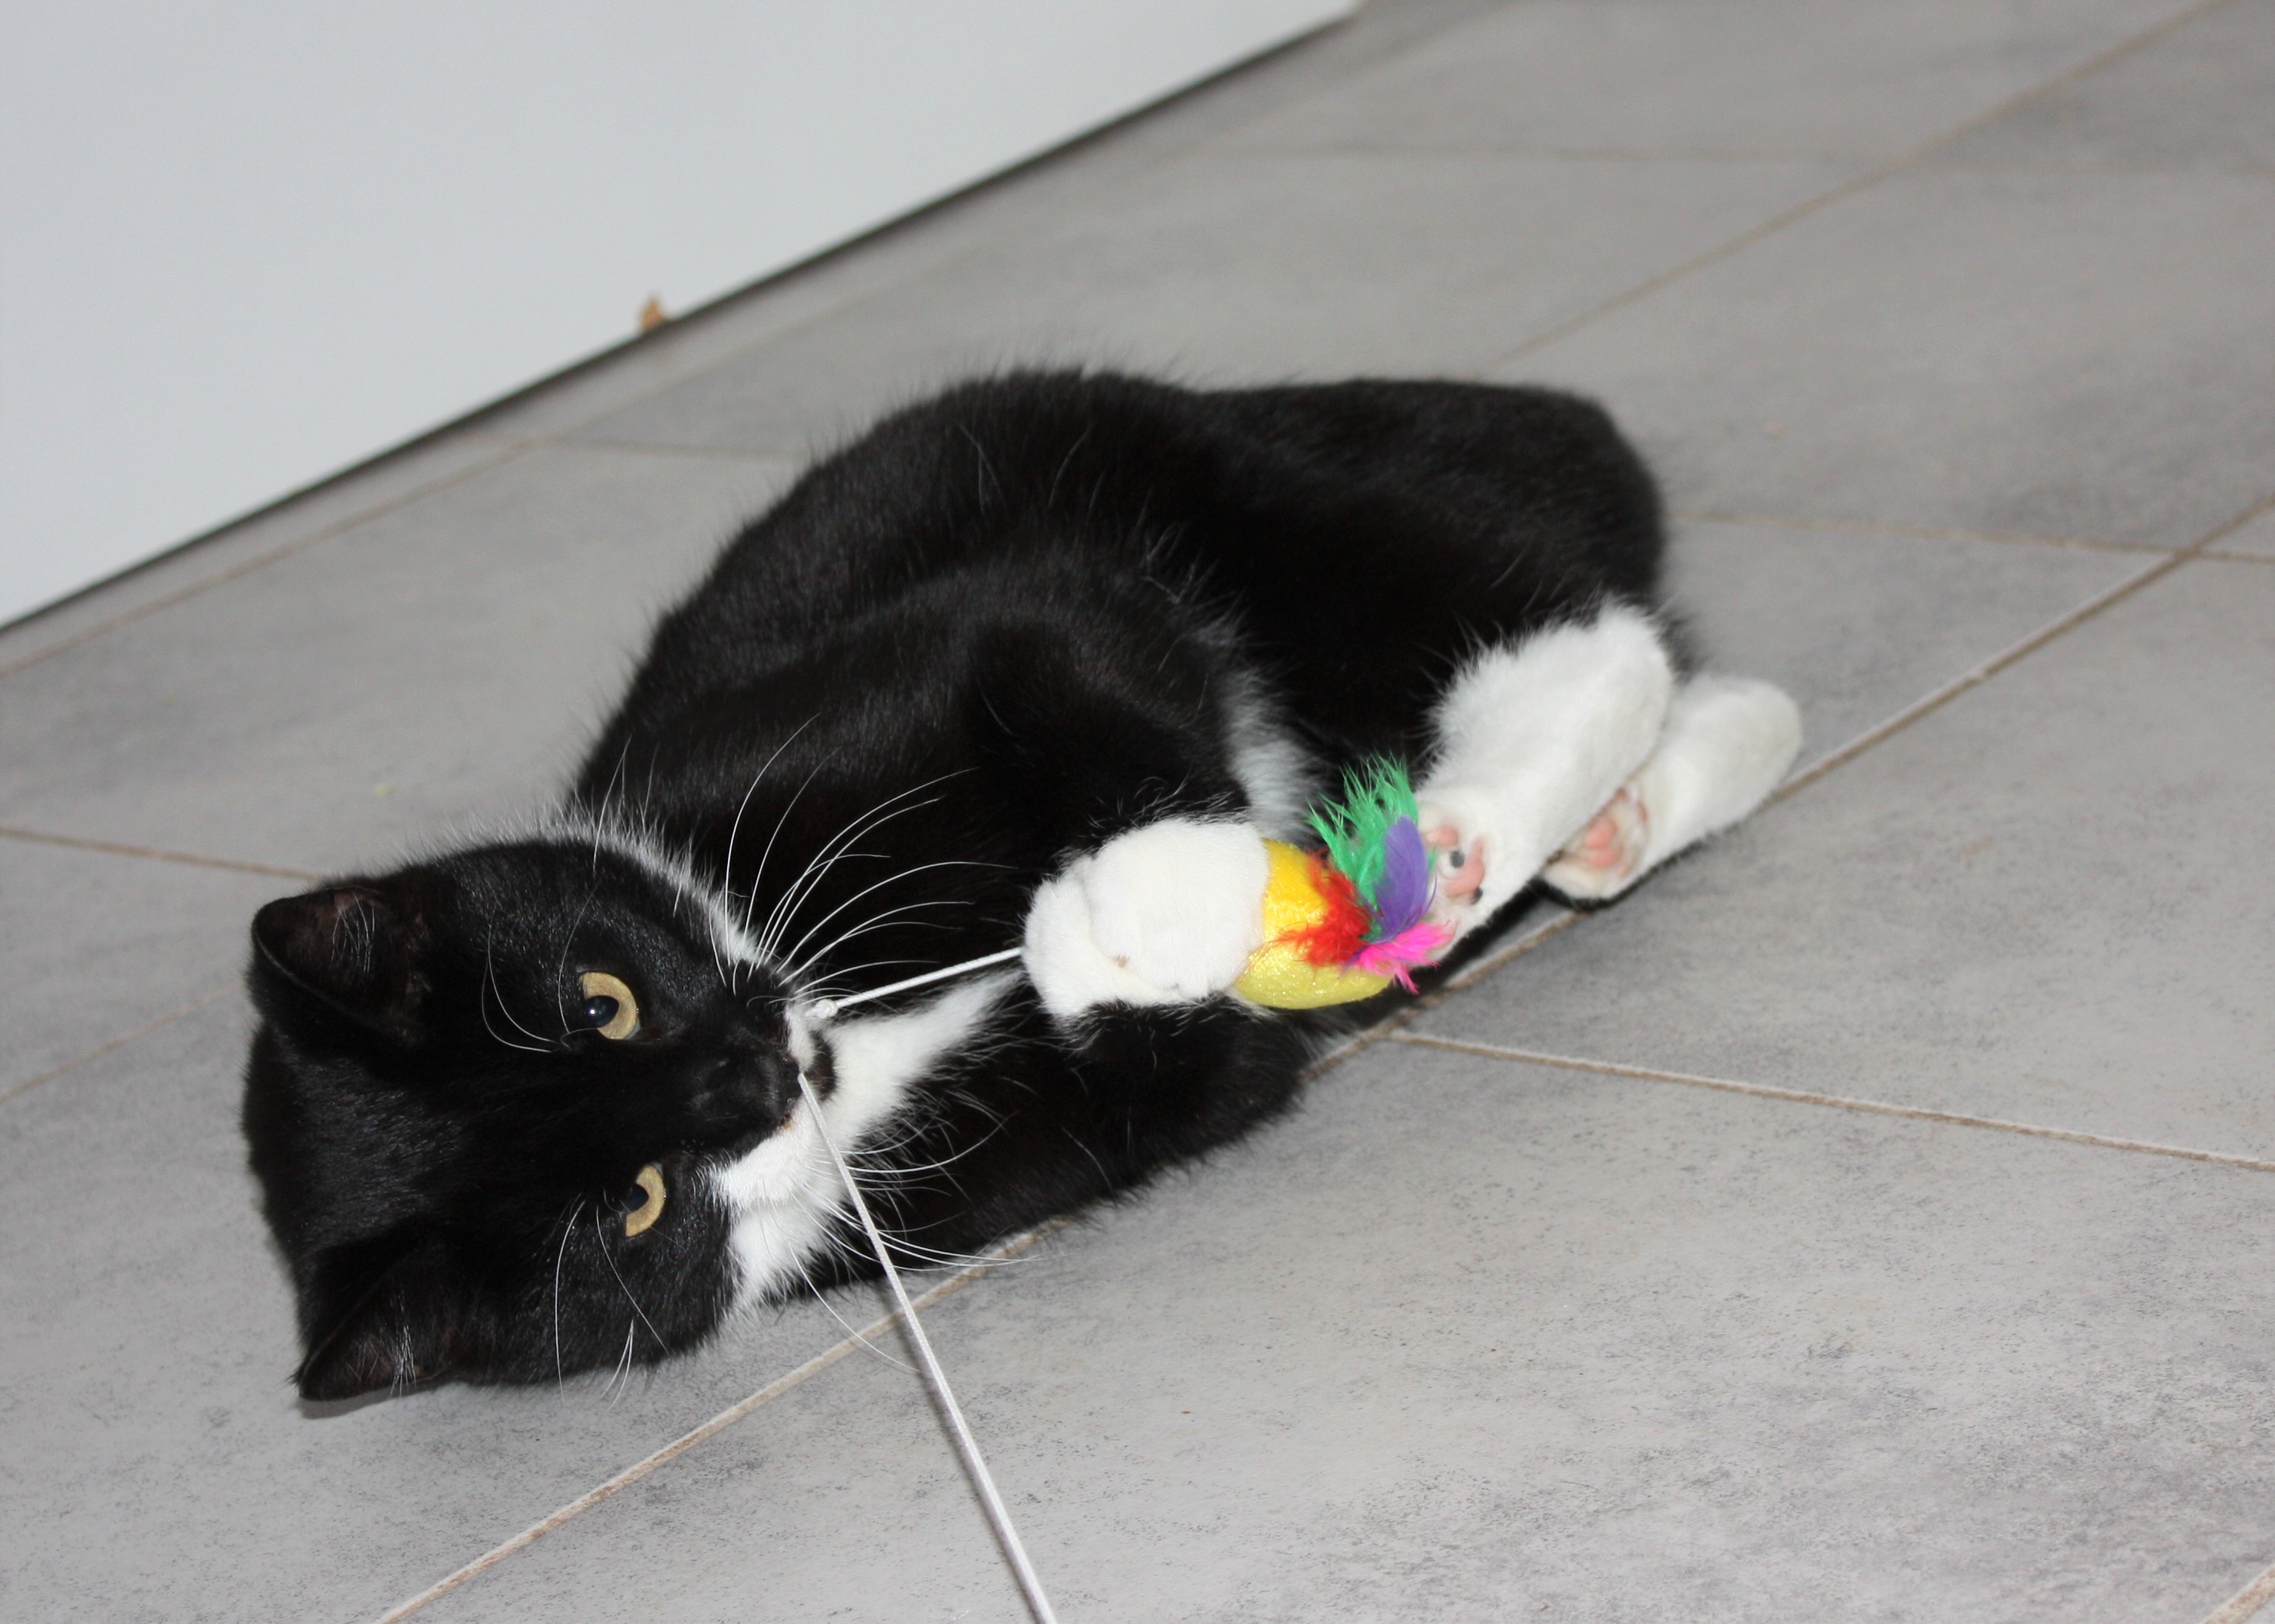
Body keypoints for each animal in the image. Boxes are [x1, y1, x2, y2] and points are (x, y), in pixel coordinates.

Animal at [242, 371, 1801, 1400]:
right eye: (633, 1205)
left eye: (600, 998)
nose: (755, 1072)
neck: (846, 1010)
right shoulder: (1002, 1165)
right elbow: (1206, 1068)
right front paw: (1133, 938)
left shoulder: (901, 672)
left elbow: (1053, 637)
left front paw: (1144, 892)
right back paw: (1624, 813)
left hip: (1282, 512)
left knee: (1585, 632)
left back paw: (1481, 821)